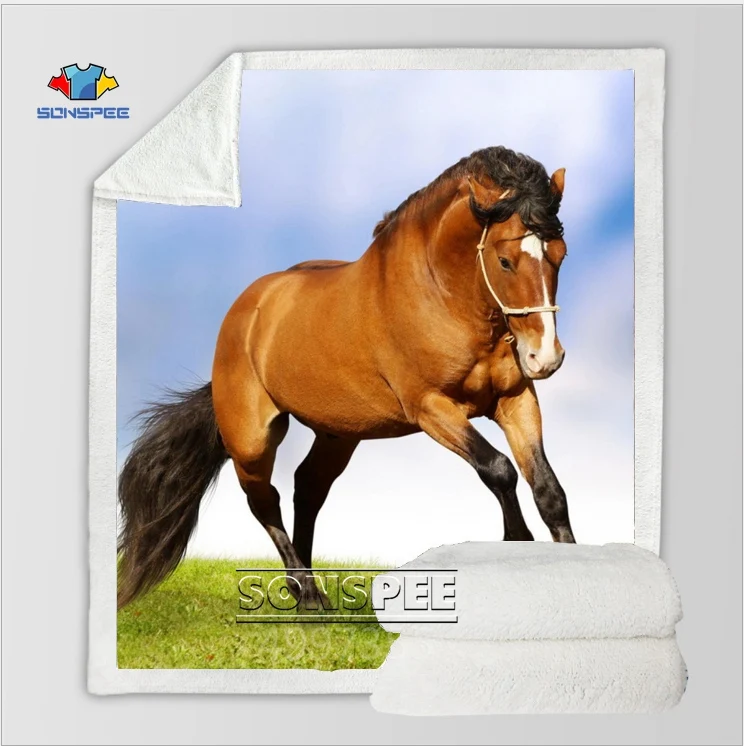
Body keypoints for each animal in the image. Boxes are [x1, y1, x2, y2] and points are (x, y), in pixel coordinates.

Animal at [117, 146, 575, 609]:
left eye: (560, 254)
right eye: (505, 260)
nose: (545, 358)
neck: (441, 296)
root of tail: (246, 311)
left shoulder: (515, 398)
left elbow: (549, 490)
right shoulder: (431, 408)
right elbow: (499, 469)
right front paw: (517, 543)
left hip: (338, 433)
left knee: (308, 488)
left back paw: (305, 586)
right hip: (251, 439)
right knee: (264, 501)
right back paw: (306, 592)